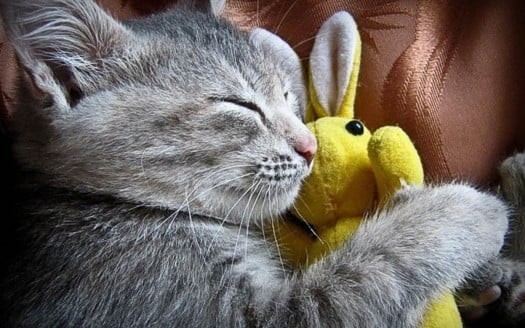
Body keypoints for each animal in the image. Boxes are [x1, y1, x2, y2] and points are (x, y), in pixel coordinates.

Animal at [0, 0, 510, 328]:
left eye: (286, 95)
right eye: (239, 105)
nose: (309, 145)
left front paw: (494, 277)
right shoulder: (251, 317)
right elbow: (369, 270)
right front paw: (468, 209)